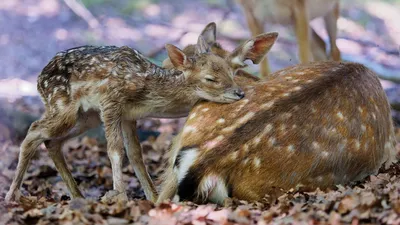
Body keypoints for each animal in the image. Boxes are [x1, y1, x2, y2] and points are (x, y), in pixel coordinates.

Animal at [4, 29, 276, 202]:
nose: (239, 93)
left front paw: (152, 198)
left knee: (52, 141)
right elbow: (115, 150)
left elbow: (136, 155)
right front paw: (121, 197)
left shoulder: (128, 116)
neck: (146, 89)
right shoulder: (110, 101)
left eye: (232, 71)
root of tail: (38, 79)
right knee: (34, 131)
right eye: (210, 78)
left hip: (85, 117)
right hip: (63, 108)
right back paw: (11, 195)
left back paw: (77, 195)